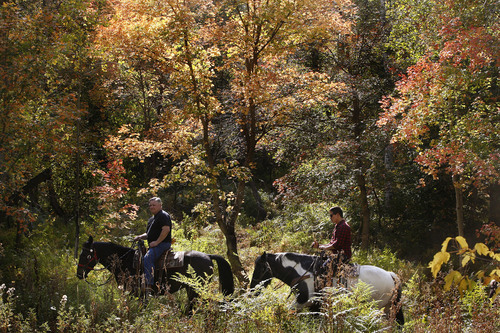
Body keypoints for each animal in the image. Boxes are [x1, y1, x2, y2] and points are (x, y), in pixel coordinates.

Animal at [250, 252, 406, 324]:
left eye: (260, 267)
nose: (252, 289)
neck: (302, 272)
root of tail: (391, 275)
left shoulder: (302, 301)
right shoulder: (315, 305)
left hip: (375, 305)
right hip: (389, 307)